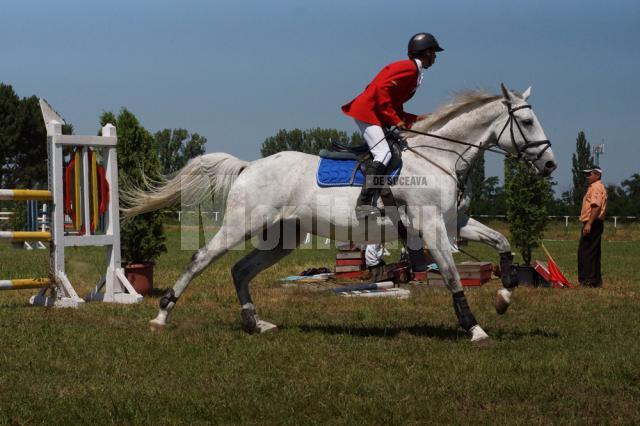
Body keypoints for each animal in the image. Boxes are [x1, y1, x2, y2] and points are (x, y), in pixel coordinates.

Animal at [124, 83, 556, 342]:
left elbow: (503, 242)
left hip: (283, 237)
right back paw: (162, 316)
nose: (550, 164)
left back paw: (255, 323)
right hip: (241, 224)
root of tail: (250, 166)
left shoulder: (455, 224)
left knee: (240, 270)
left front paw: (503, 296)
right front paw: (474, 327)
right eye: (527, 121)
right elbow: (451, 275)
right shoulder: (432, 228)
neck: (440, 158)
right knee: (202, 259)